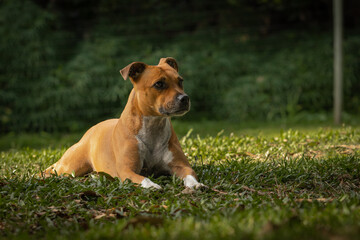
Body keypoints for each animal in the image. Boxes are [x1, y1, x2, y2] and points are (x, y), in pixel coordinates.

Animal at [43, 57, 202, 188]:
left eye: (180, 81)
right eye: (159, 84)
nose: (184, 98)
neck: (153, 125)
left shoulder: (181, 165)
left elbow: (190, 174)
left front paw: (196, 185)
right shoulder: (127, 170)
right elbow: (143, 179)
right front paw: (152, 186)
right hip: (70, 166)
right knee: (51, 169)